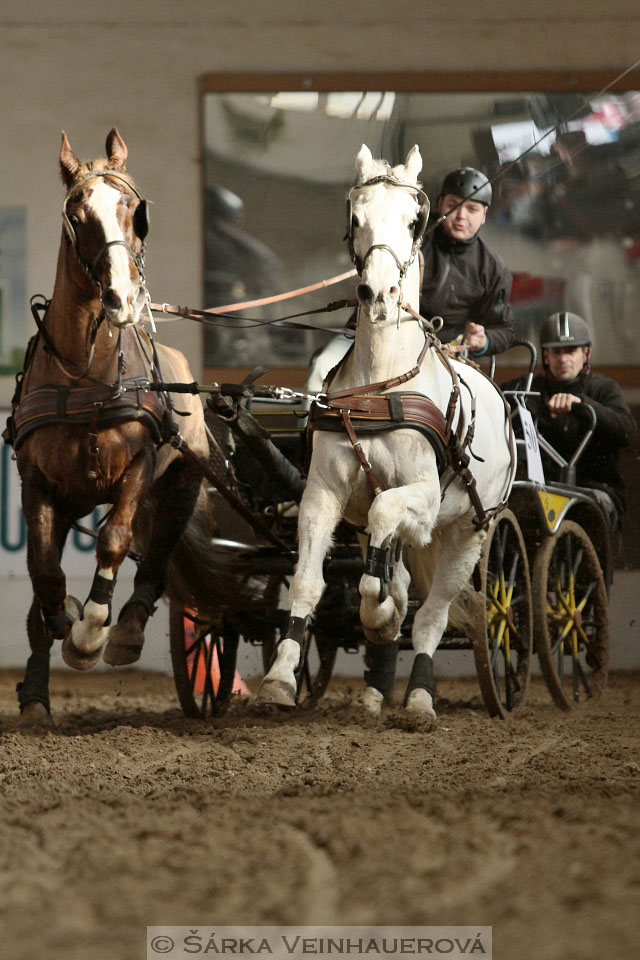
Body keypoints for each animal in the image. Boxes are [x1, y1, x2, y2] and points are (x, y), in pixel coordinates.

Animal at [6, 131, 212, 724]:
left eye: (134, 211)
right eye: (77, 215)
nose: (122, 298)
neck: (88, 374)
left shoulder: (139, 466)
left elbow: (116, 540)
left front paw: (92, 632)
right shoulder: (37, 481)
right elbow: (45, 573)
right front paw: (64, 621)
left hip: (183, 478)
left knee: (157, 558)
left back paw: (128, 629)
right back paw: (36, 692)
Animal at [258, 144, 512, 720]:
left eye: (414, 219)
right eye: (356, 217)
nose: (378, 293)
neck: (383, 384)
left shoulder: (421, 496)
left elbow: (381, 544)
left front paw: (381, 615)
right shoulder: (324, 494)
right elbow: (311, 582)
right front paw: (281, 677)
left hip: (470, 532)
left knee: (434, 613)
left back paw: (419, 697)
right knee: (397, 576)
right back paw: (378, 684)